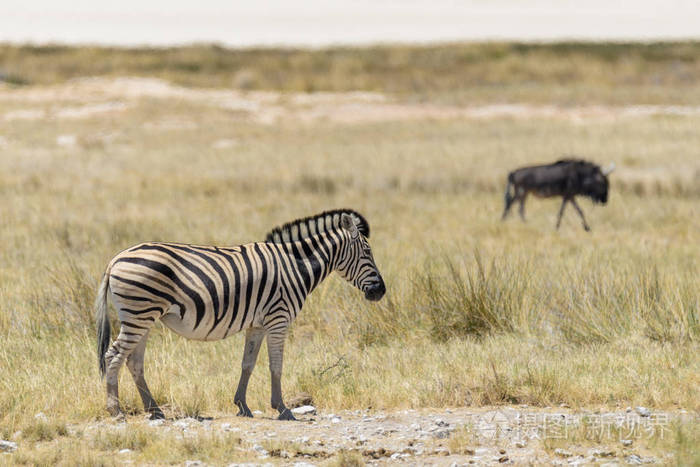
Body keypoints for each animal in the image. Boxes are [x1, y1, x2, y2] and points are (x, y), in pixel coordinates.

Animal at [95, 210, 386, 422]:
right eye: (368, 252)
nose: (380, 292)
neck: (295, 266)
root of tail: (115, 259)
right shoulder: (278, 319)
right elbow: (276, 366)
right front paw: (282, 408)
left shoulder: (257, 324)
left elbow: (248, 363)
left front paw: (242, 406)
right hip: (139, 313)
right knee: (113, 356)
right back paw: (116, 411)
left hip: (143, 316)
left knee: (134, 362)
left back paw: (154, 410)